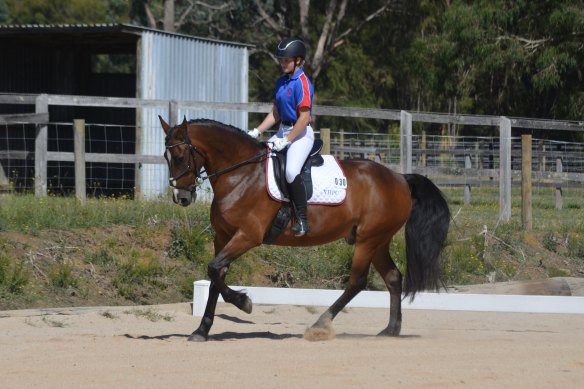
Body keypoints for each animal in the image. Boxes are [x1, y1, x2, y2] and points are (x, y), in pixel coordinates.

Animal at [160, 116, 452, 342]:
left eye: (181, 156)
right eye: (166, 156)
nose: (181, 197)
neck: (241, 175)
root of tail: (400, 178)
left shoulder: (248, 236)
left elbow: (213, 270)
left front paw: (245, 303)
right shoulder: (223, 237)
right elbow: (215, 277)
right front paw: (202, 330)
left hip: (368, 239)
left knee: (357, 282)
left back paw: (320, 325)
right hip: (378, 240)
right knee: (393, 277)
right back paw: (391, 329)